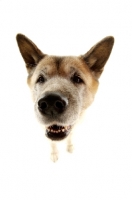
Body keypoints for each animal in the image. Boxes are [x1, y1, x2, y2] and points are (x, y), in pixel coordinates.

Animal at [16, 34, 114, 162]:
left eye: (77, 79)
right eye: (40, 79)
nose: (51, 102)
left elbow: (71, 135)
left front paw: (70, 146)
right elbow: (52, 143)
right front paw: (54, 153)